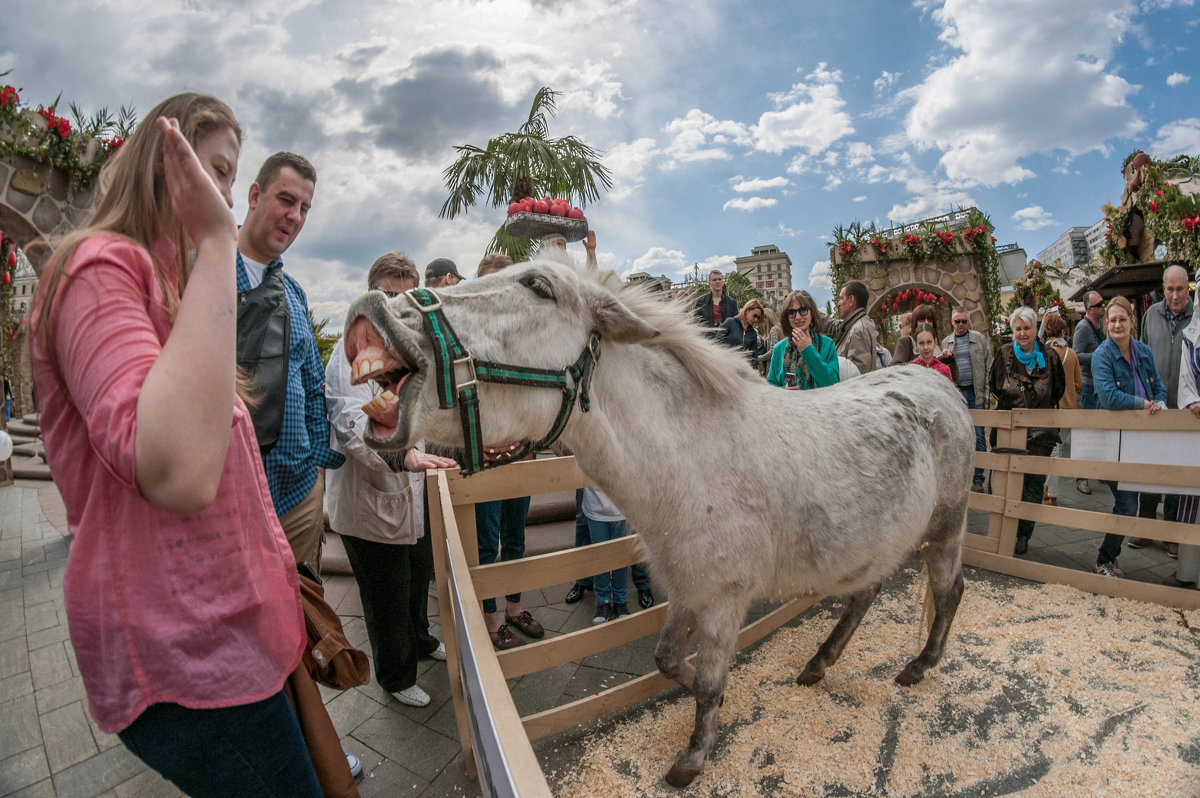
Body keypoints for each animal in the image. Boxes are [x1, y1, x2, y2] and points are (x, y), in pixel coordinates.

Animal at [340, 258, 974, 787]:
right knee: (865, 593)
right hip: (876, 542)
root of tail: (938, 382)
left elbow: (711, 681)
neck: (691, 460)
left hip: (946, 527)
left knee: (949, 591)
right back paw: (819, 664)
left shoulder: (722, 600)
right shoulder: (686, 590)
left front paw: (692, 758)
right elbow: (669, 662)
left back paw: (919, 666)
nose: (371, 314)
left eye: (539, 286)